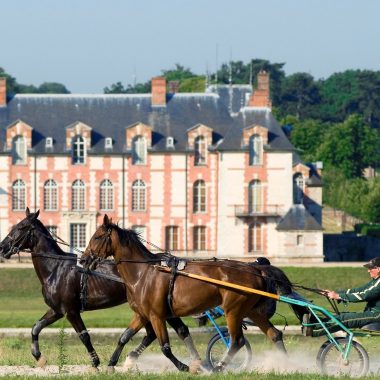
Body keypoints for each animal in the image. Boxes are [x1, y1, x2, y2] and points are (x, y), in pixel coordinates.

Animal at [0, 209, 202, 370]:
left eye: (21, 227)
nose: (2, 247)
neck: (56, 268)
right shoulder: (57, 310)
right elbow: (36, 328)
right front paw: (39, 357)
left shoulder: (71, 311)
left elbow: (84, 336)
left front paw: (95, 362)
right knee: (158, 333)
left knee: (172, 331)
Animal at [86, 214, 296, 372]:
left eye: (96, 237)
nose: (83, 259)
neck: (143, 273)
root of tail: (256, 269)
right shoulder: (142, 314)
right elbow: (124, 337)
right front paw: (112, 364)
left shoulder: (156, 316)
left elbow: (165, 347)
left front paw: (185, 366)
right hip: (251, 310)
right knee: (275, 334)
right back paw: (286, 364)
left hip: (233, 310)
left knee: (237, 341)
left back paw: (219, 366)